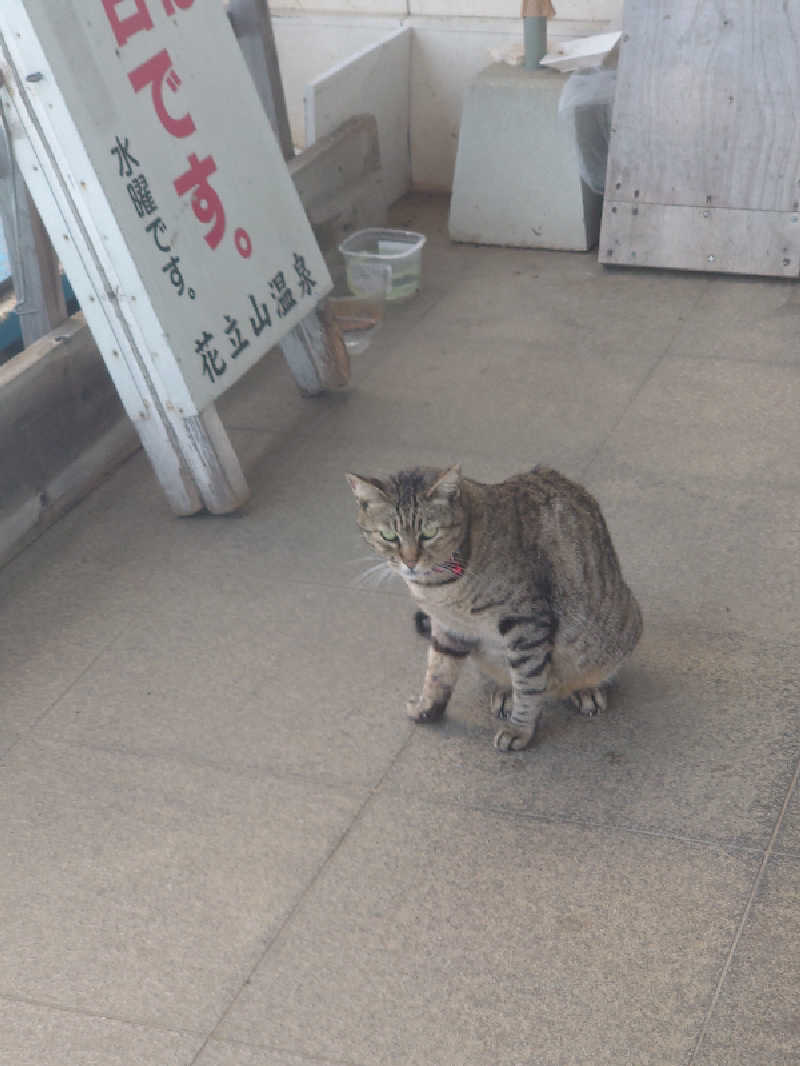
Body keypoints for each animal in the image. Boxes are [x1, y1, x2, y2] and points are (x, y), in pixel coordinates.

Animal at [347, 464, 644, 750]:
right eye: (389, 536)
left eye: (429, 533)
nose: (410, 562)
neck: (438, 587)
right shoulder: (447, 627)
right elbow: (437, 672)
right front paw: (427, 708)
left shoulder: (527, 624)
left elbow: (528, 684)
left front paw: (519, 730)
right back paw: (503, 692)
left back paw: (585, 689)